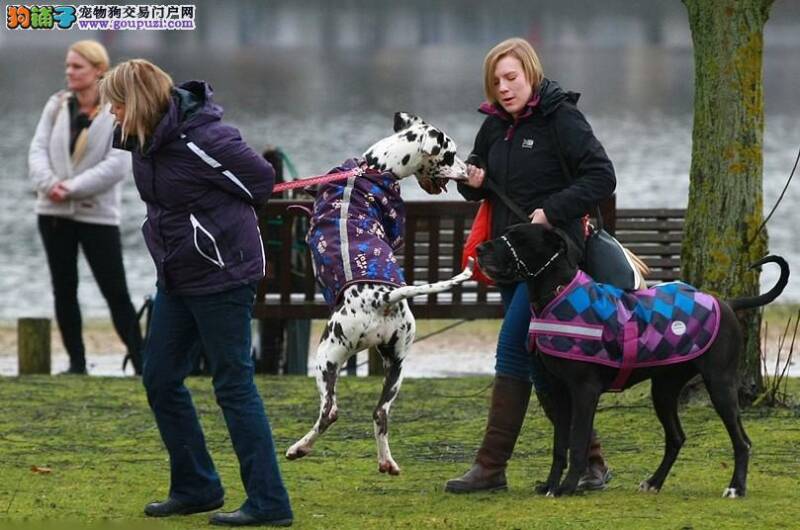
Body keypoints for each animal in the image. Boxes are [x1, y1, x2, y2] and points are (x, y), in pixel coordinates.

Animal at [286, 112, 472, 474]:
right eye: (451, 156)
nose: (469, 170)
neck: (375, 168)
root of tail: (382, 299)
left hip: (327, 355)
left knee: (329, 411)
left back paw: (299, 447)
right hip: (396, 366)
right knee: (380, 413)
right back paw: (387, 462)